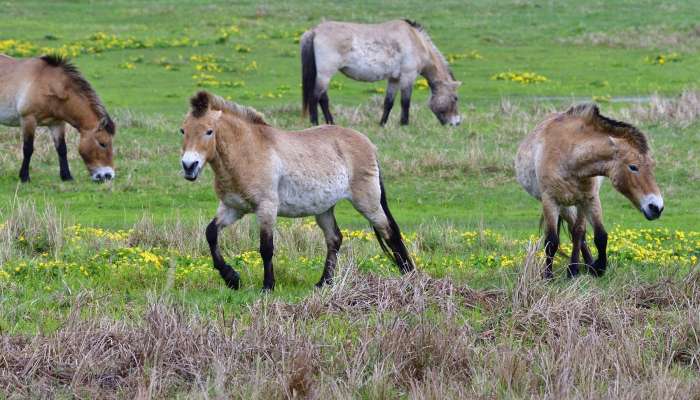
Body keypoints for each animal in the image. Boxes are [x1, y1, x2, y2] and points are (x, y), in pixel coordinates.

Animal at [0, 54, 116, 182]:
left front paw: (67, 176)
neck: (49, 85)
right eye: (102, 143)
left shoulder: (57, 123)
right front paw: (24, 177)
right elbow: (28, 149)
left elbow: (62, 149)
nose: (109, 175)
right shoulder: (28, 120)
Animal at [179, 90, 416, 290]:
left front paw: (267, 286)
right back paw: (323, 283)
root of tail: (368, 144)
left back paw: (409, 275)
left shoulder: (267, 208)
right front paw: (231, 278)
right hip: (324, 209)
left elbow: (266, 248)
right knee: (335, 239)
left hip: (367, 202)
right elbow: (211, 234)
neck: (247, 153)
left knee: (389, 232)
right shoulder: (232, 208)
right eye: (183, 130)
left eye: (209, 131)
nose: (189, 166)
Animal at [300, 19, 460, 126]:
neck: (415, 40)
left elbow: (388, 102)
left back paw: (331, 123)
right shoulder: (408, 76)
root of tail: (314, 31)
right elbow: (405, 102)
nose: (457, 123)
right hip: (325, 74)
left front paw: (382, 124)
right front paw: (404, 124)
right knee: (316, 97)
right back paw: (315, 123)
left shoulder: (394, 79)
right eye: (455, 98)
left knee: (323, 98)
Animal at [516, 103, 664, 278]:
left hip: (578, 204)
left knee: (578, 232)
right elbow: (551, 241)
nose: (657, 207)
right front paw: (548, 276)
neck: (569, 156)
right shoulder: (550, 200)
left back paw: (583, 266)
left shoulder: (590, 198)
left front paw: (596, 268)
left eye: (652, 165)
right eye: (633, 167)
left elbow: (599, 235)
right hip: (565, 206)